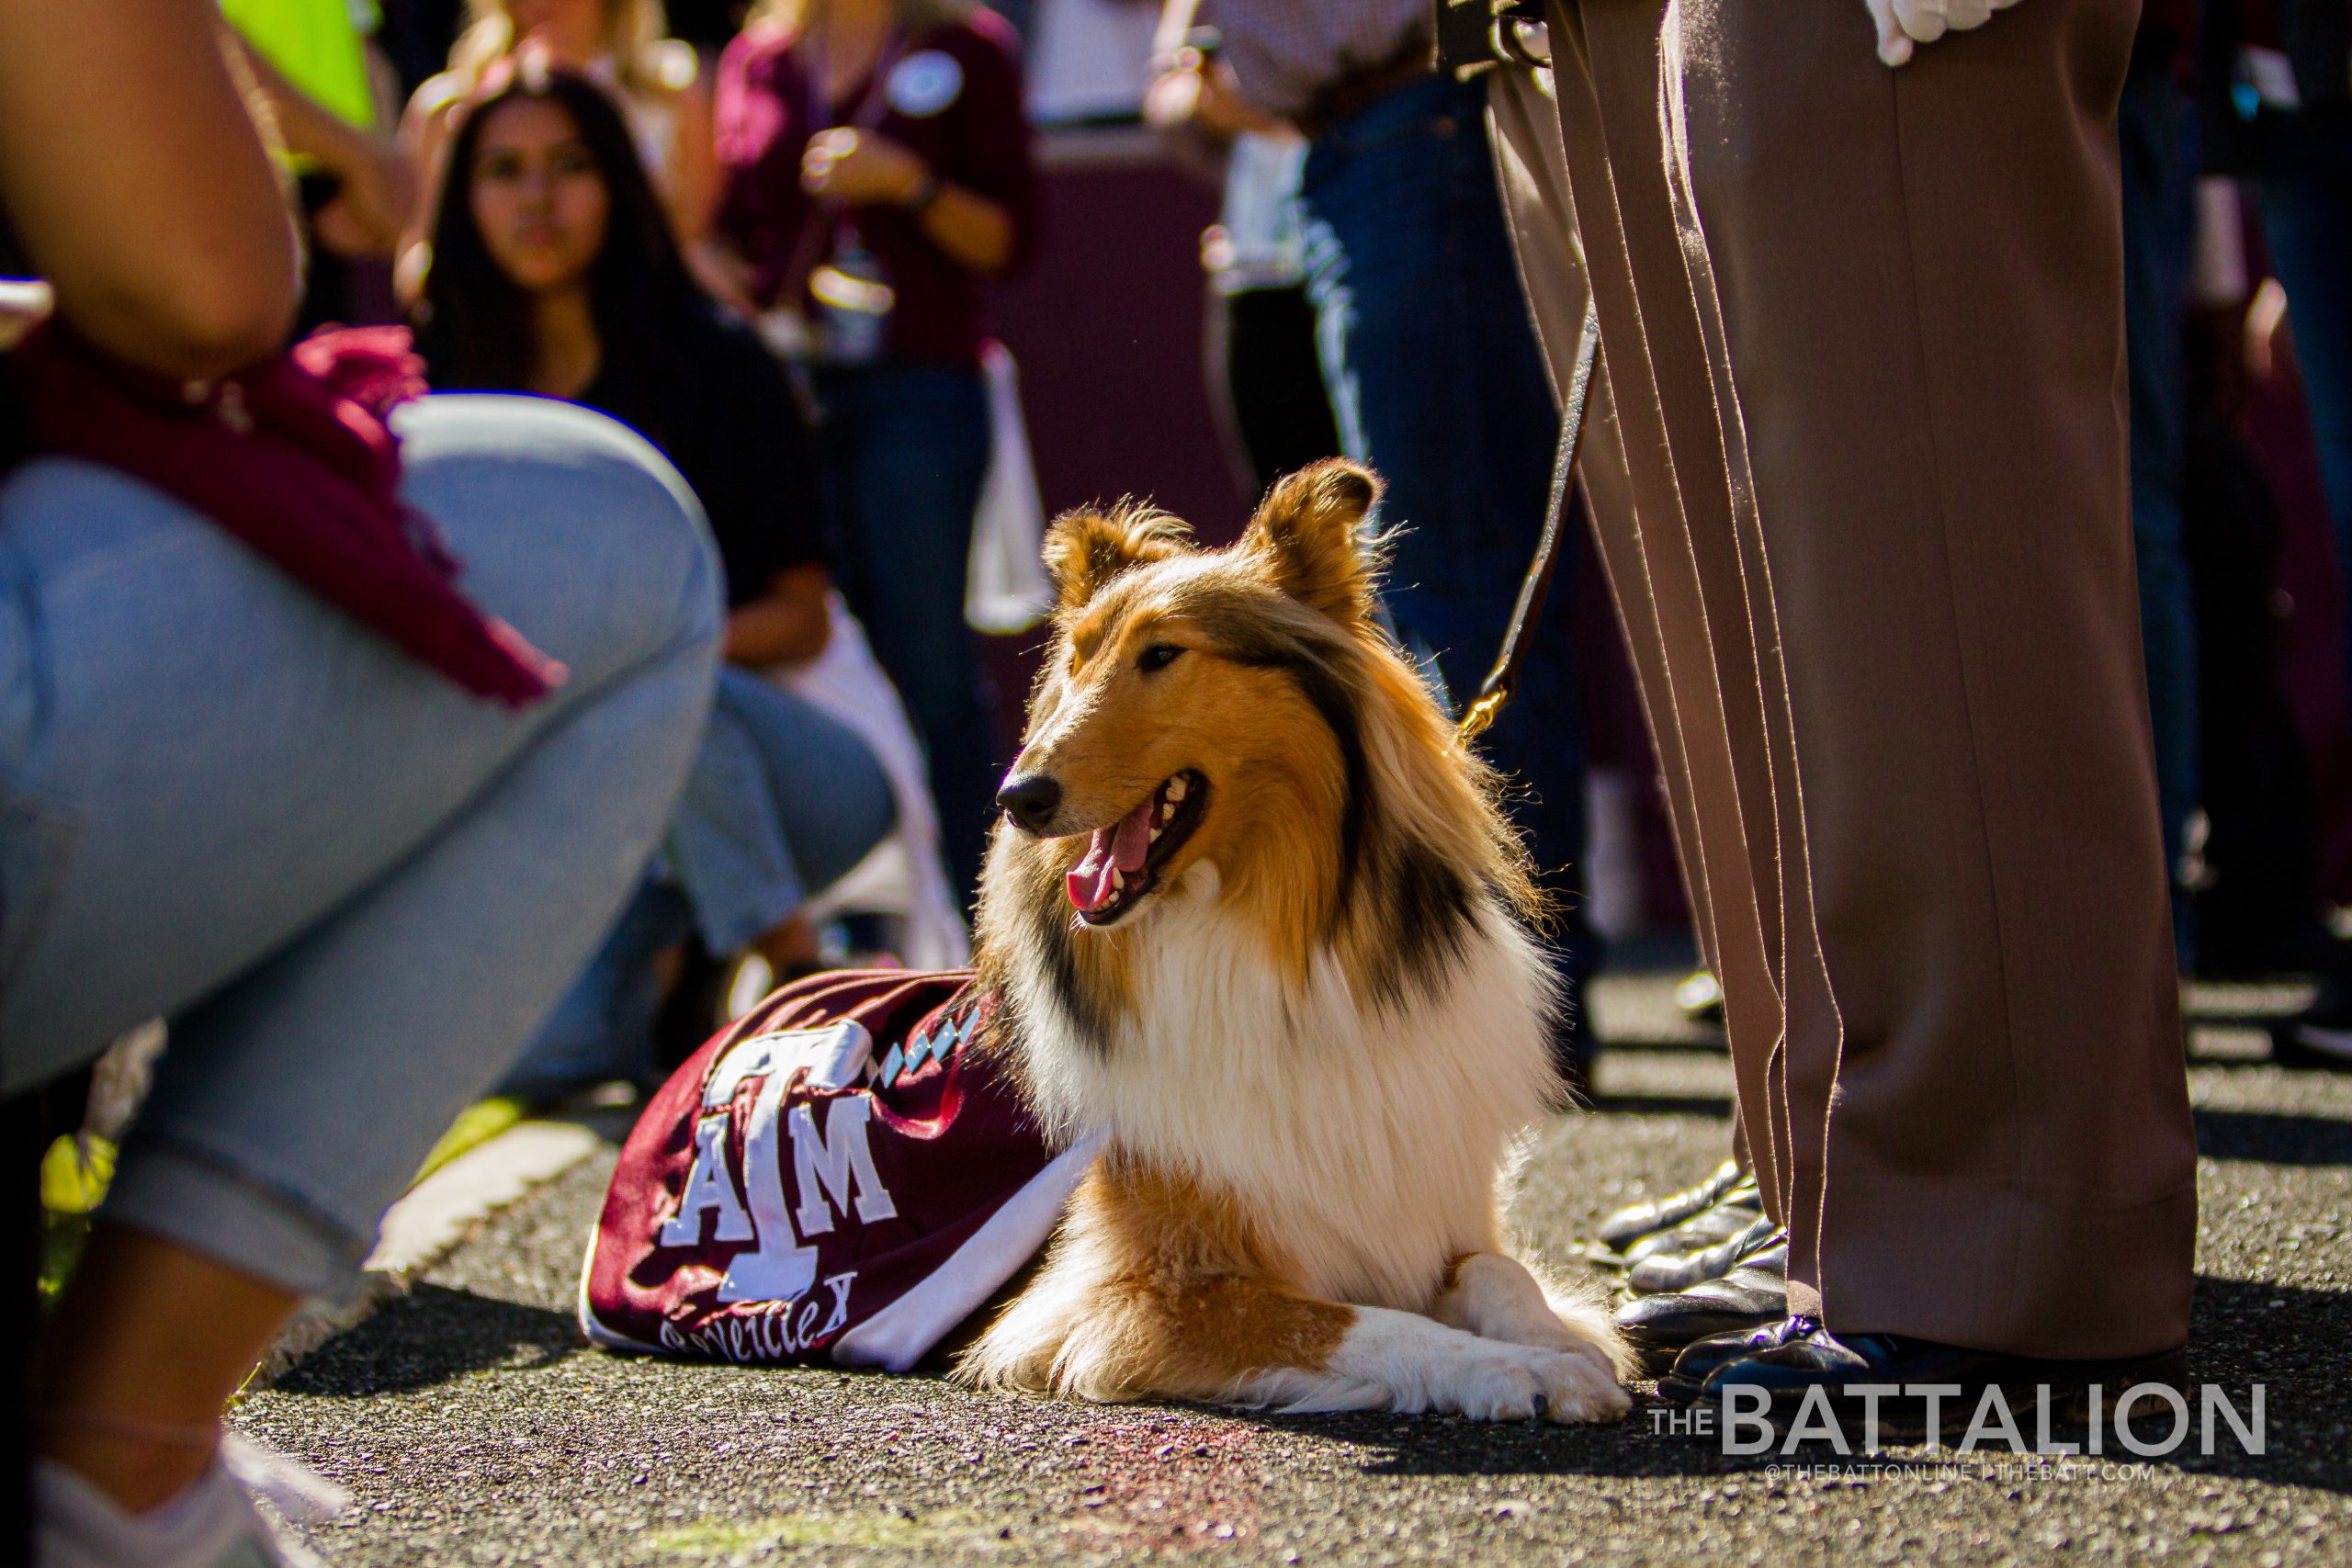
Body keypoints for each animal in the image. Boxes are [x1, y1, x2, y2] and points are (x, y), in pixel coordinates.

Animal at [955, 456, 1636, 1419]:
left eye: (1162, 654)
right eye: (1076, 660)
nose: (1019, 797)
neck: (1267, 952)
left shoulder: (1424, 1214)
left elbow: (1498, 1270)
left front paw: (1560, 1340)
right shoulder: (1129, 1302)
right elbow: (1368, 1322)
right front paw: (1517, 1368)